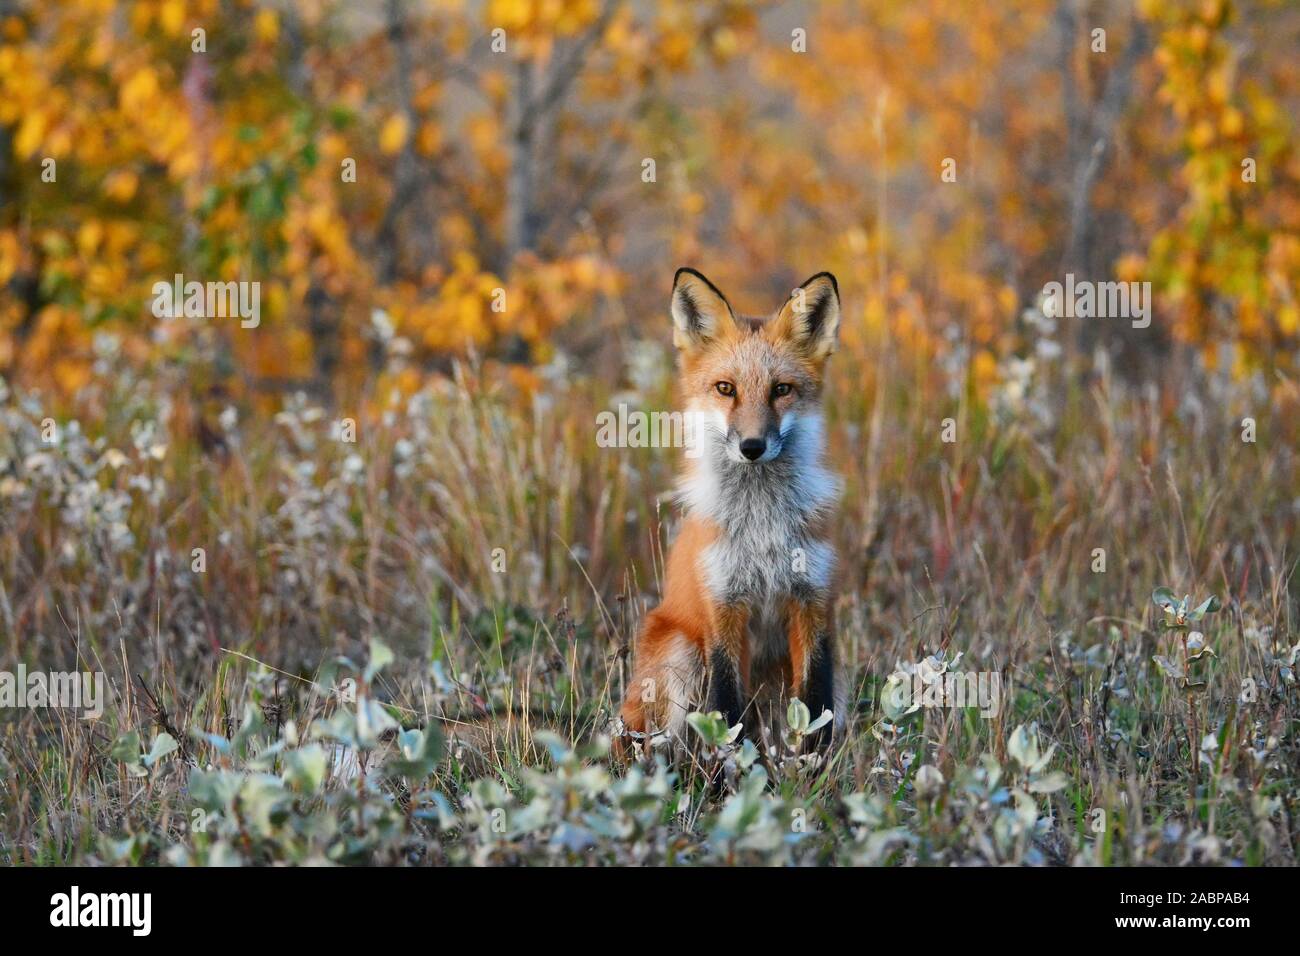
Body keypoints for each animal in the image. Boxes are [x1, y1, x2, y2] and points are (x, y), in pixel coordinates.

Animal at [616, 267, 842, 754]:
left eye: (781, 390)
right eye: (726, 389)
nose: (752, 446)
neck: (762, 527)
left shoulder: (812, 602)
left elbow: (817, 709)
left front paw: (815, 768)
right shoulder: (723, 606)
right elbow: (726, 709)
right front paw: (731, 771)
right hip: (680, 654)